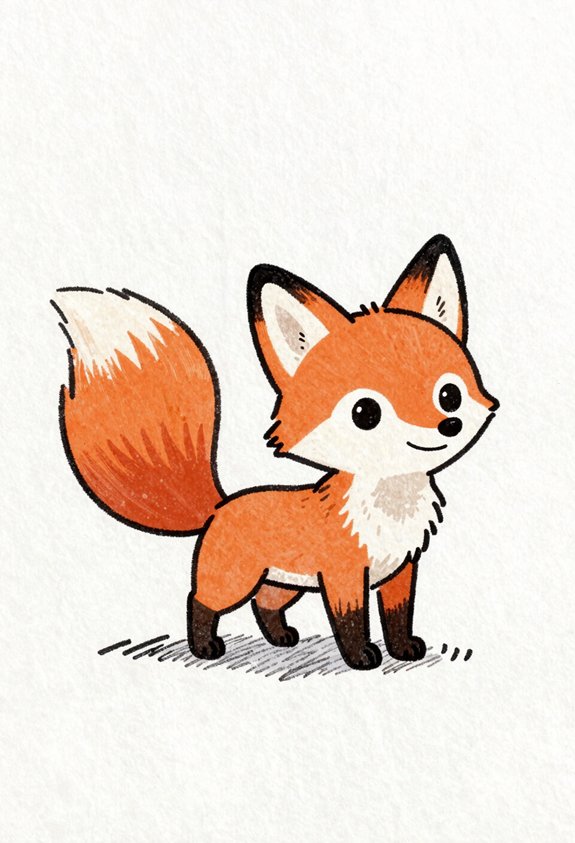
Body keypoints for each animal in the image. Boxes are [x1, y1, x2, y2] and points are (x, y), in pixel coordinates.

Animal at [52, 235, 498, 671]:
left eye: (449, 395)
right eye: (365, 413)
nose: (448, 426)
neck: (390, 504)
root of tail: (219, 506)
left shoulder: (400, 571)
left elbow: (398, 617)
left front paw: (403, 649)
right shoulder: (343, 575)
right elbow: (352, 622)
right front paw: (361, 658)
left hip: (283, 584)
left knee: (263, 605)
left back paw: (281, 638)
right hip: (234, 580)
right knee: (200, 602)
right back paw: (205, 647)